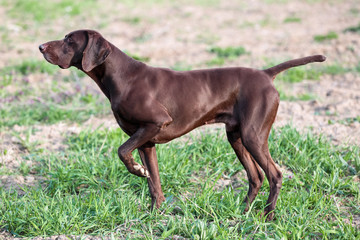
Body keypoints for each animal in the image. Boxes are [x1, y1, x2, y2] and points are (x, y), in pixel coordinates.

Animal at [39, 29, 326, 219]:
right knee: (255, 177)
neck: (122, 77)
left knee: (275, 174)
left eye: (69, 40)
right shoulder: (146, 142)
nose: (41, 47)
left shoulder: (155, 124)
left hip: (253, 136)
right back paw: (243, 212)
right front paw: (153, 214)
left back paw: (267, 216)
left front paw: (136, 172)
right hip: (236, 137)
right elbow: (154, 183)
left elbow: (122, 152)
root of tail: (266, 75)